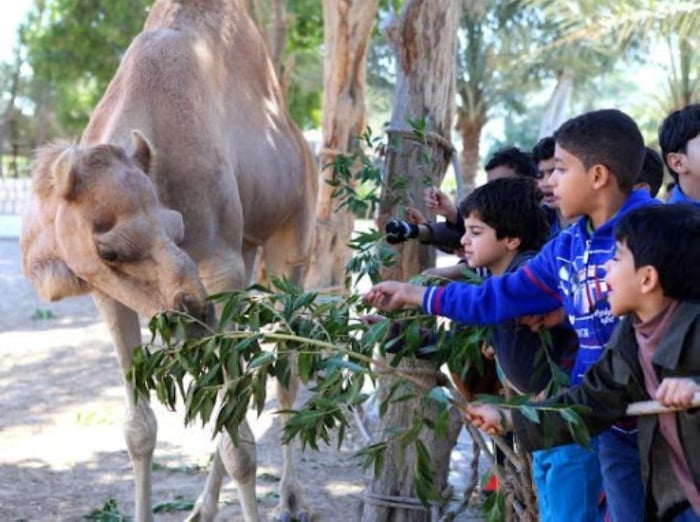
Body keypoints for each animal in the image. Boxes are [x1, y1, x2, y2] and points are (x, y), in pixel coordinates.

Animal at [18, 2, 320, 516]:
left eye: (177, 227)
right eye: (108, 249)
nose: (194, 312)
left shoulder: (219, 266)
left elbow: (239, 443)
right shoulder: (106, 290)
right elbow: (139, 430)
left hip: (292, 236)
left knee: (286, 371)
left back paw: (290, 499)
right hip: (247, 250)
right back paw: (203, 508)